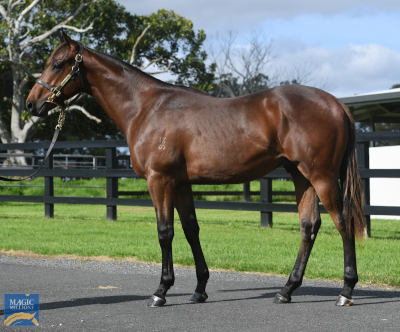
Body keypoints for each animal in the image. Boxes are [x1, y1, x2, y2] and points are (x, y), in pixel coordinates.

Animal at [25, 32, 364, 308]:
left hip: (321, 177)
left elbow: (165, 231)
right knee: (309, 226)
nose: (31, 104)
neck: (146, 108)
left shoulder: (159, 180)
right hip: (300, 176)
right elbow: (191, 229)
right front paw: (199, 289)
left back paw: (346, 291)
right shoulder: (181, 184)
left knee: (342, 222)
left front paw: (161, 291)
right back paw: (286, 290)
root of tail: (335, 104)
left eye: (58, 64)